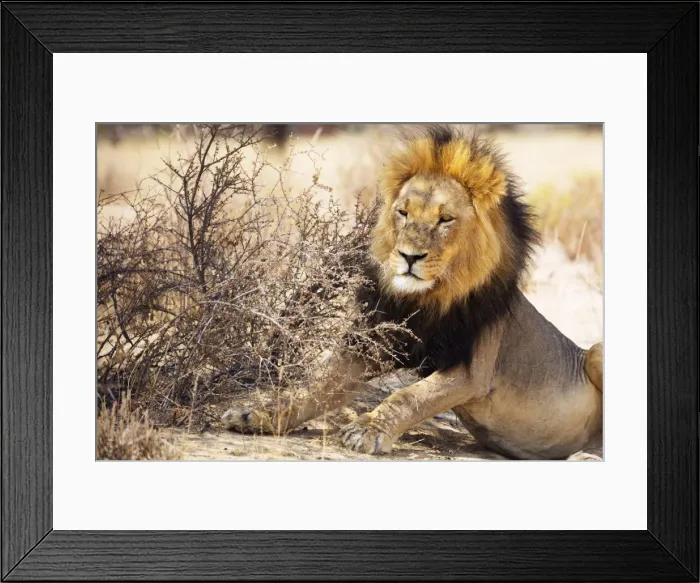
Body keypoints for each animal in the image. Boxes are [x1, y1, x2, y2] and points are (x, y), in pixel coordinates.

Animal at [222, 125, 603, 460]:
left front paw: (368, 429)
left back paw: (584, 456)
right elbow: (314, 388)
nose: (409, 256)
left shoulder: (473, 370)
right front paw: (258, 414)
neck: (426, 299)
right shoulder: (367, 345)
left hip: (595, 352)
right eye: (403, 213)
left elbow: (410, 396)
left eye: (445, 219)